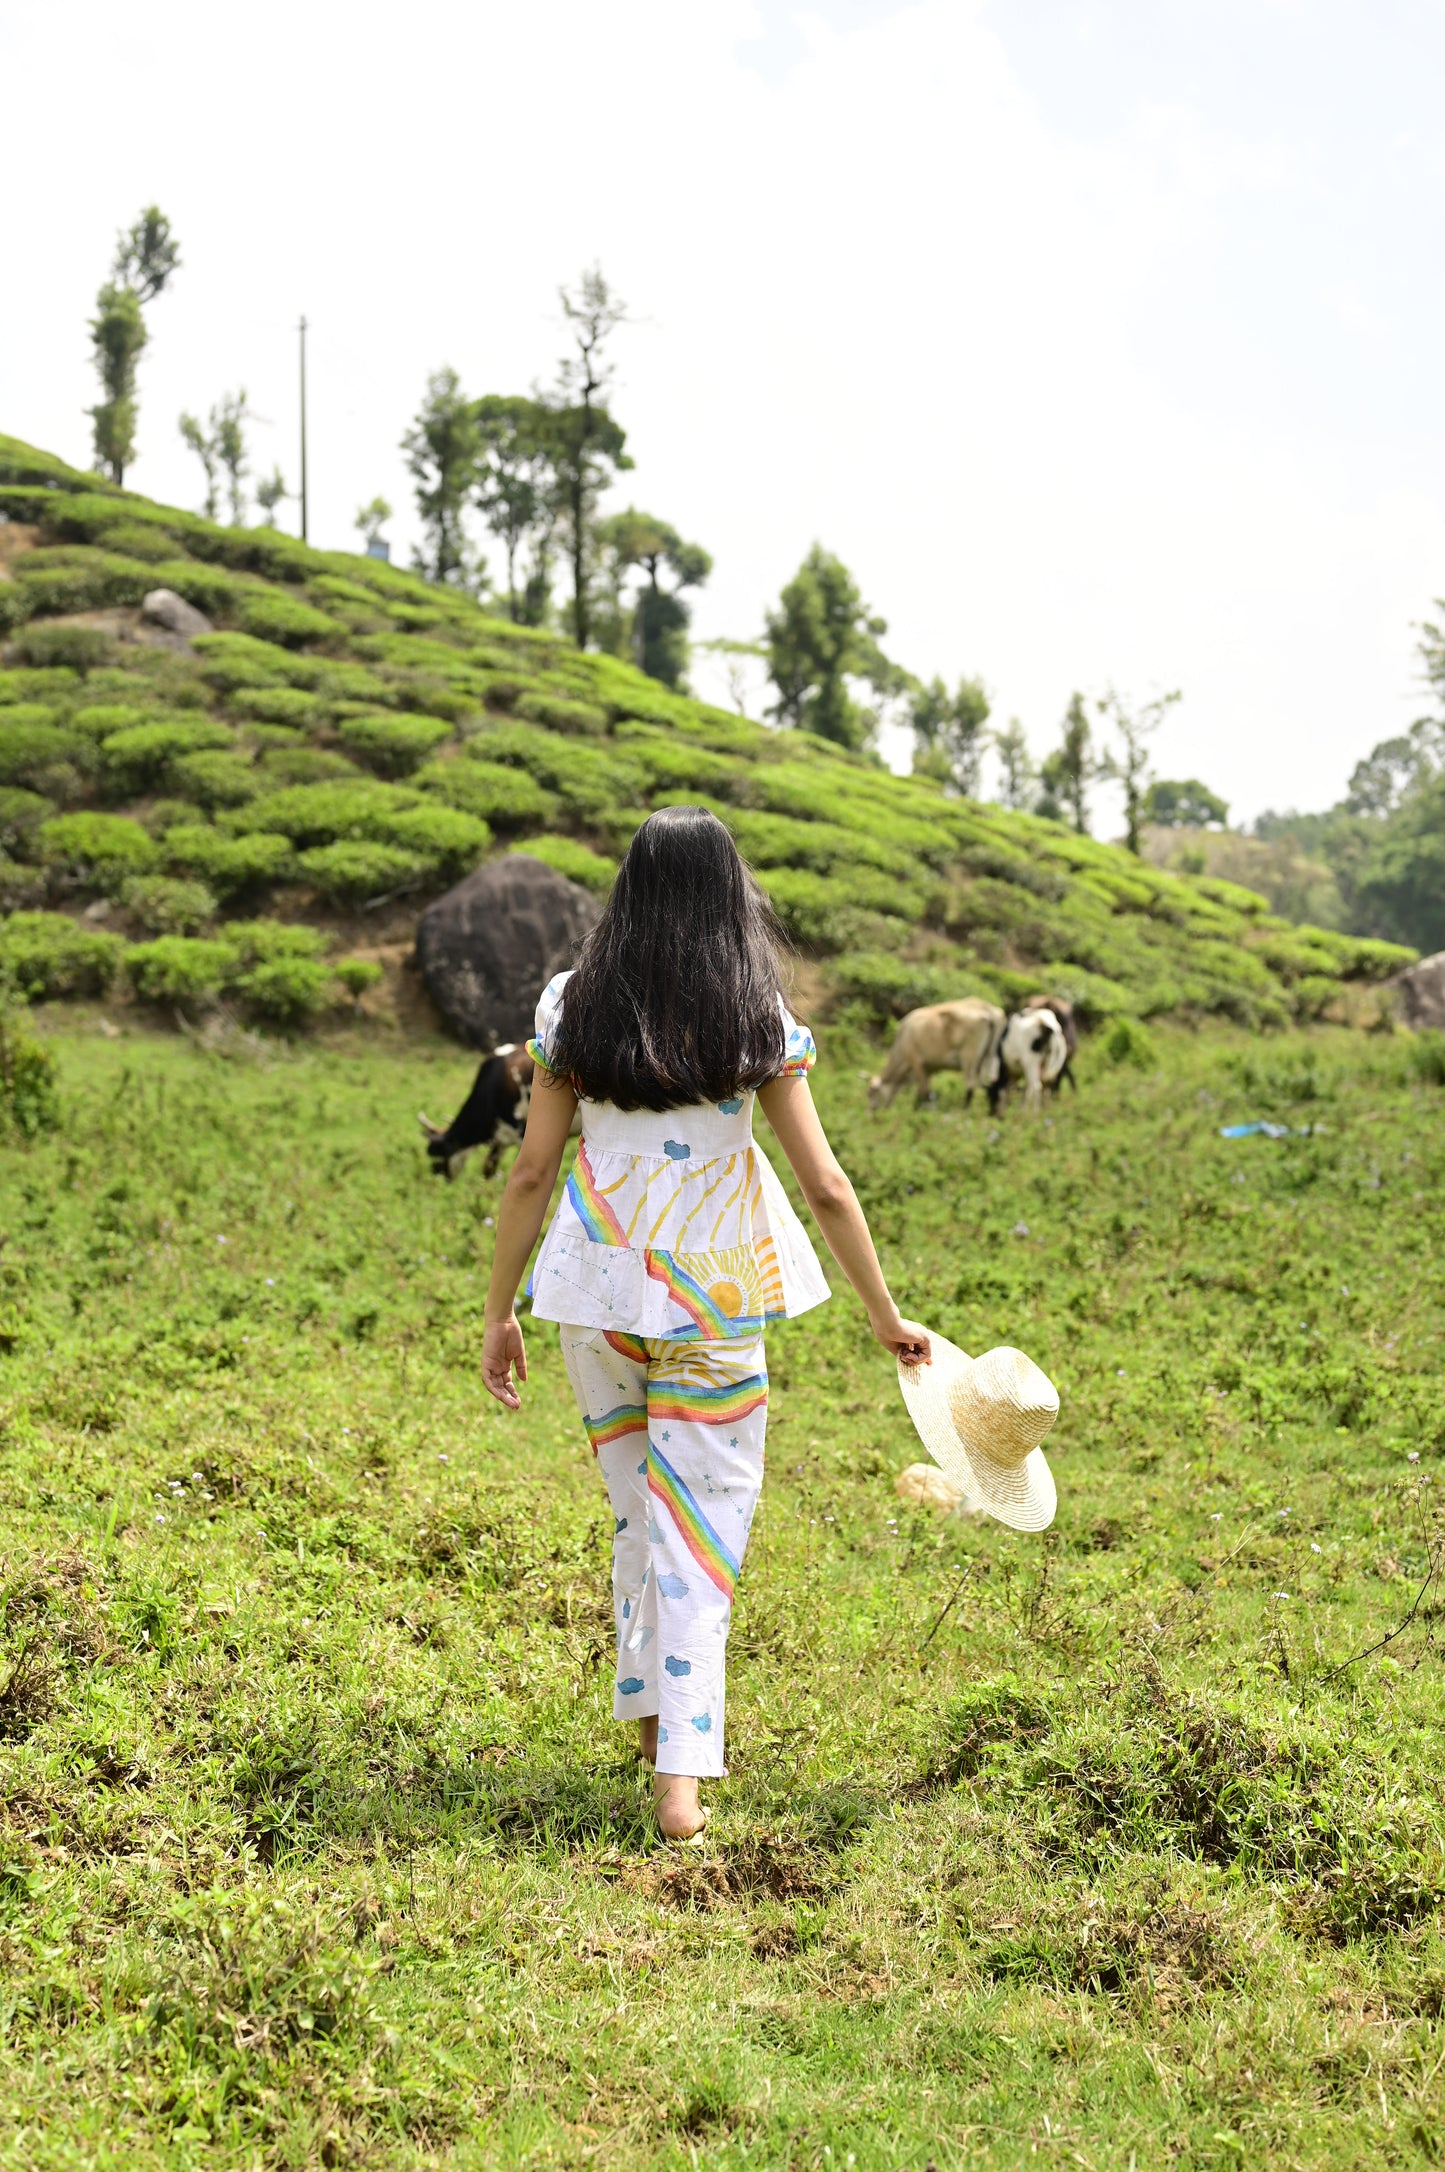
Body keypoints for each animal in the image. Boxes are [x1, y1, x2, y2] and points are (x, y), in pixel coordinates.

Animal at [869, 994, 1003, 1112]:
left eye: (871, 1093)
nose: (872, 1114)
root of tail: (987, 1009)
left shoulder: (916, 1062)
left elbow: (923, 1092)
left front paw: (916, 1112)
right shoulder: (929, 1068)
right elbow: (926, 1092)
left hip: (969, 1057)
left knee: (970, 1086)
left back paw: (964, 1111)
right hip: (991, 1057)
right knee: (993, 1085)